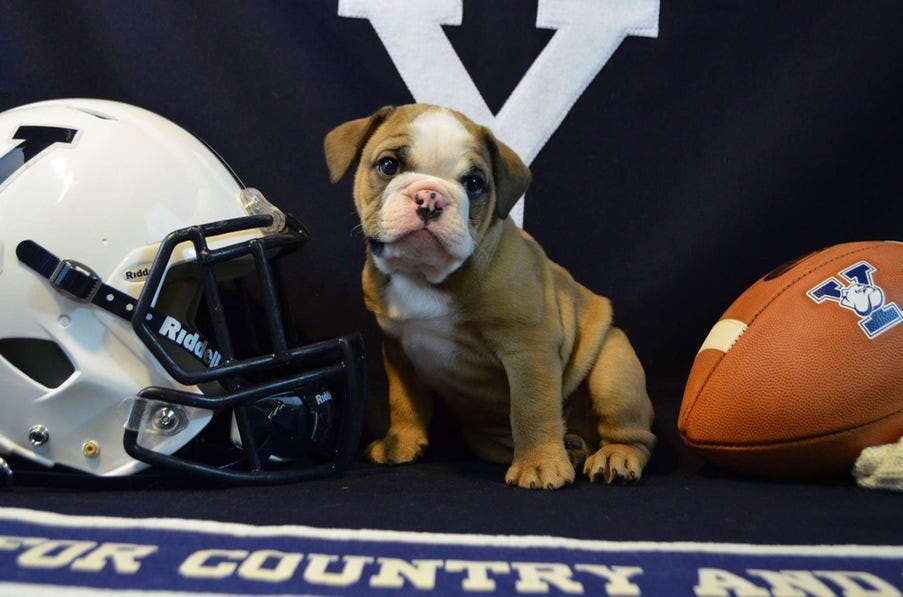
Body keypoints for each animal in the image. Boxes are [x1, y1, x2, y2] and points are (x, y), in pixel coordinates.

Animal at [324, 103, 656, 488]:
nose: (430, 196)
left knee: (632, 432)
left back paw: (614, 455)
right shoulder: (397, 348)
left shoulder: (528, 347)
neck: (424, 274)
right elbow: (404, 400)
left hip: (614, 368)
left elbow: (532, 408)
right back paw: (572, 449)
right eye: (389, 165)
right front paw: (400, 442)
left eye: (474, 184)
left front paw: (539, 465)